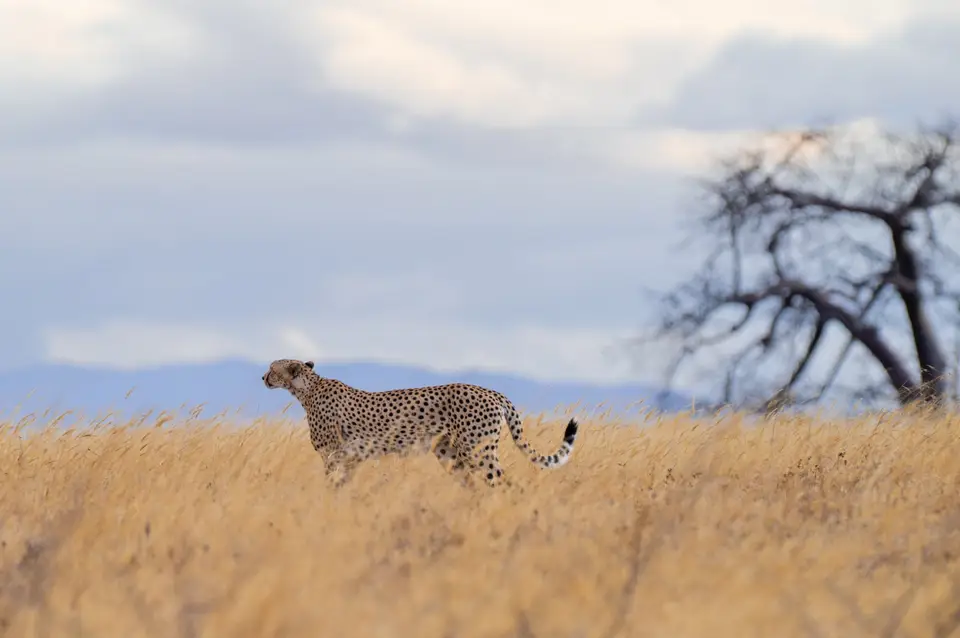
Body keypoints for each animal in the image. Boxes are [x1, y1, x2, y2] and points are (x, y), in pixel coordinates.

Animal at [262, 358, 579, 487]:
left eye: (272, 368)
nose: (263, 377)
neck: (308, 388)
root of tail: (490, 391)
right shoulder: (351, 457)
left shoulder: (334, 455)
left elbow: (331, 483)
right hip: (449, 453)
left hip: (477, 450)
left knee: (500, 481)